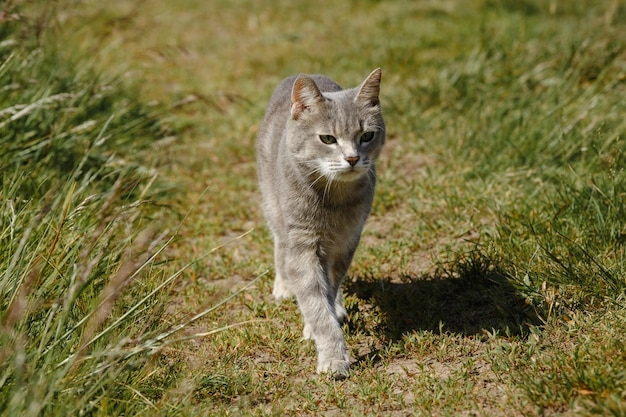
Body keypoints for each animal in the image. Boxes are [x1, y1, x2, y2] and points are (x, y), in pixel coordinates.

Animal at [255, 69, 382, 376]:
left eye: (367, 136)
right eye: (327, 138)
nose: (352, 158)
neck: (334, 200)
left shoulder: (347, 241)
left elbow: (331, 285)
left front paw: (329, 314)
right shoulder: (303, 244)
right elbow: (314, 298)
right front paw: (333, 358)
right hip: (273, 206)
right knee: (279, 245)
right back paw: (283, 286)